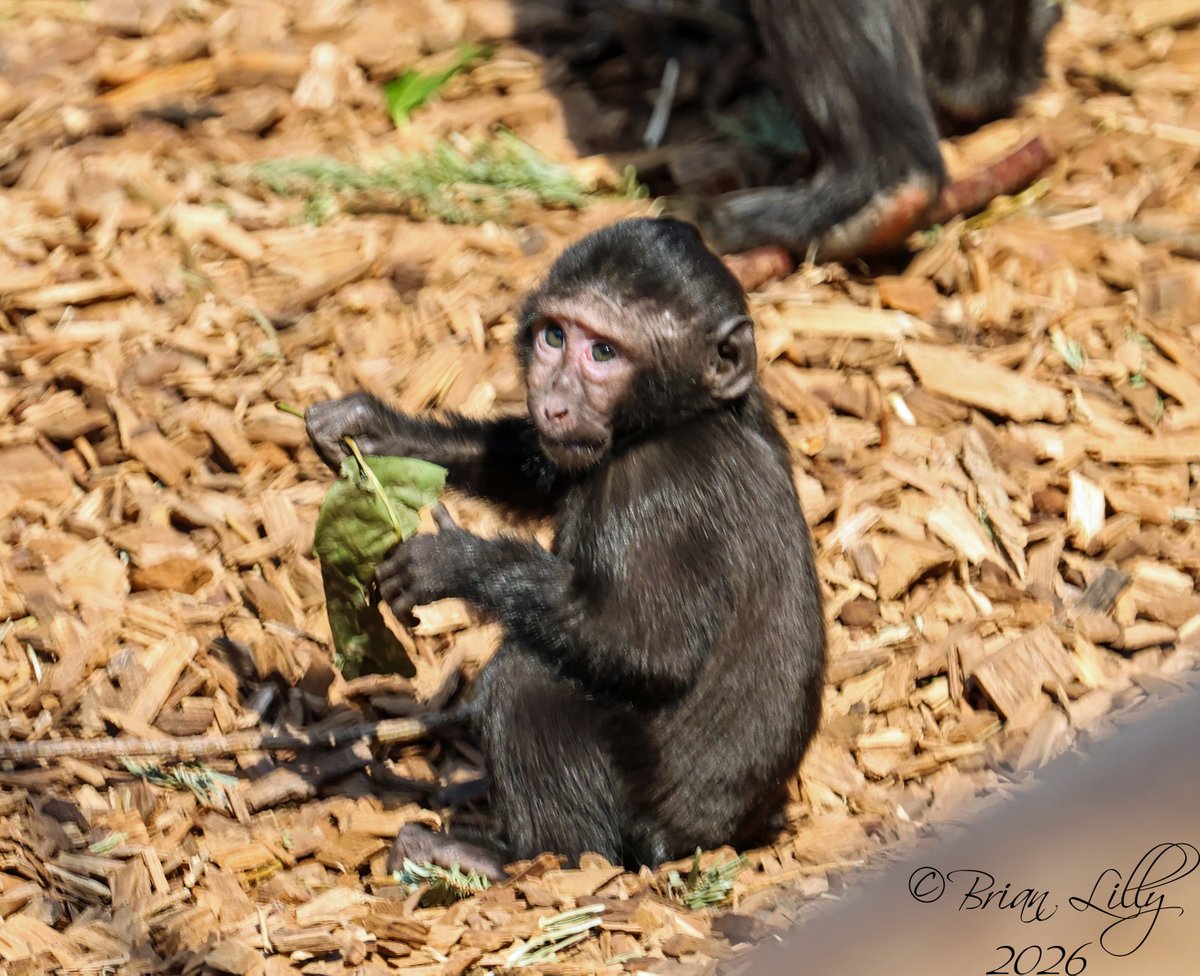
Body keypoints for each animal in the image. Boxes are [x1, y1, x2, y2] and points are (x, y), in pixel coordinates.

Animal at [305, 217, 826, 878]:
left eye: (603, 353)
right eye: (554, 337)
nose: (553, 401)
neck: (679, 419)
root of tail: (723, 838)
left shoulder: (657, 490)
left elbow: (645, 648)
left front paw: (451, 563)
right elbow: (532, 468)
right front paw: (375, 431)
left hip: (646, 825)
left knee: (528, 677)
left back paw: (519, 858)